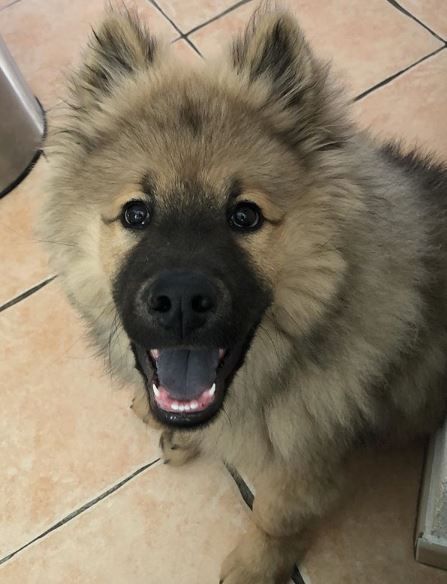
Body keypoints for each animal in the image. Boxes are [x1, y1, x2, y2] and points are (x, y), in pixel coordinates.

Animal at [39, 5, 447, 582]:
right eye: (136, 213)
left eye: (245, 216)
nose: (180, 301)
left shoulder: (309, 455)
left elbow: (275, 515)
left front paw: (257, 566)